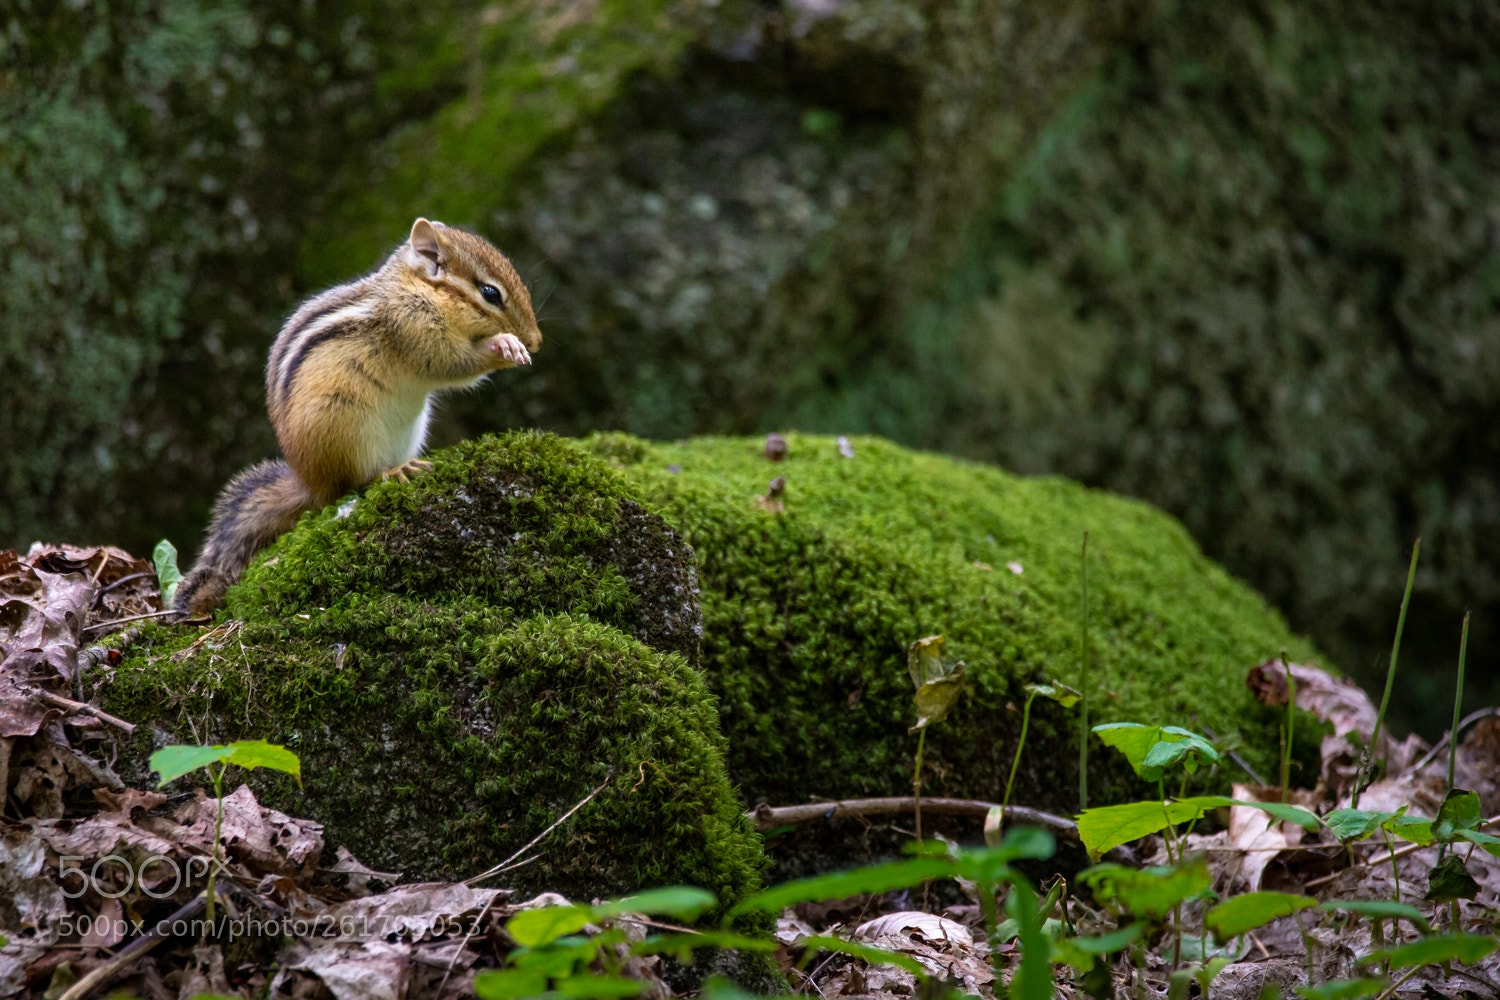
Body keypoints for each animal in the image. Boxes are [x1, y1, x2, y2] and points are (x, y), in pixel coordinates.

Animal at [173, 218, 542, 616]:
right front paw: (503, 345)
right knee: (354, 484)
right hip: (347, 428)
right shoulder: (412, 327)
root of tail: (310, 481)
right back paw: (393, 472)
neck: (419, 289)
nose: (537, 340)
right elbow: (451, 363)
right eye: (490, 293)